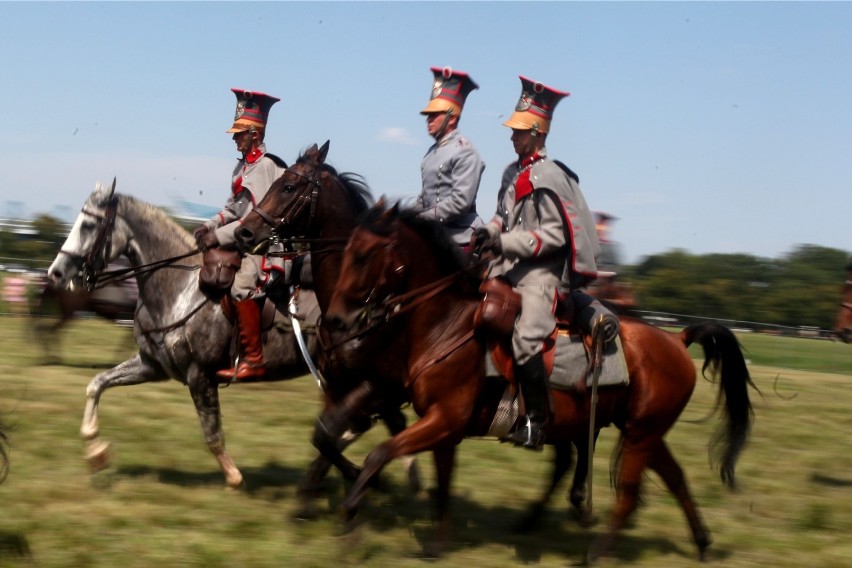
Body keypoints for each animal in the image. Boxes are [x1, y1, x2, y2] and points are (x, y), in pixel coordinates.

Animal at [47, 181, 330, 488]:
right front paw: (96, 452)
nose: (56, 273)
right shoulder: (152, 366)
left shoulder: (200, 376)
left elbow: (212, 434)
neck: (179, 288)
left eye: (88, 225)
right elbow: (97, 383)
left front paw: (234, 478)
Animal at [236, 141, 604, 528]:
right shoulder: (337, 386)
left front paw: (370, 481)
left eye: (289, 186)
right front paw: (314, 496)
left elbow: (341, 435)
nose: (245, 233)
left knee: (578, 445)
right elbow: (324, 436)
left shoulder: (378, 388)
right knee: (566, 453)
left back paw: (575, 503)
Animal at [322, 203, 756, 564]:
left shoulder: (443, 420)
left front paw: (349, 516)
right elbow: (442, 482)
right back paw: (701, 543)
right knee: (675, 478)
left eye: (363, 255)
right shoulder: (441, 425)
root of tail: (677, 340)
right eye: (347, 251)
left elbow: (380, 454)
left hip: (639, 435)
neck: (447, 324)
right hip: (643, 432)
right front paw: (435, 544)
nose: (335, 320)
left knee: (629, 494)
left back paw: (596, 551)